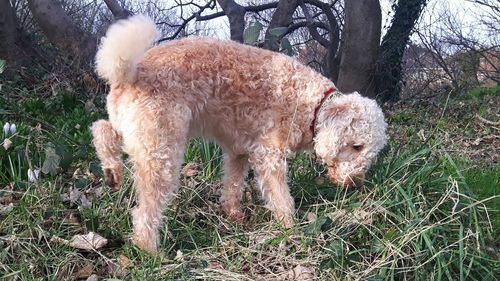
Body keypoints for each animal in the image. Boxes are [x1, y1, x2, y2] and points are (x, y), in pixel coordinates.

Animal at [91, 14, 386, 252]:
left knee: (101, 130)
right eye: (356, 146)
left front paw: (234, 215)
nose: (355, 184)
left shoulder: (238, 151)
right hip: (160, 153)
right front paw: (290, 229)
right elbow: (281, 198)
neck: (310, 104)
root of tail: (131, 72)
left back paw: (112, 172)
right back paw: (150, 251)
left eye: (370, 154)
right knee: (144, 212)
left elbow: (233, 185)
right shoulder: (269, 156)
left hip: (138, 134)